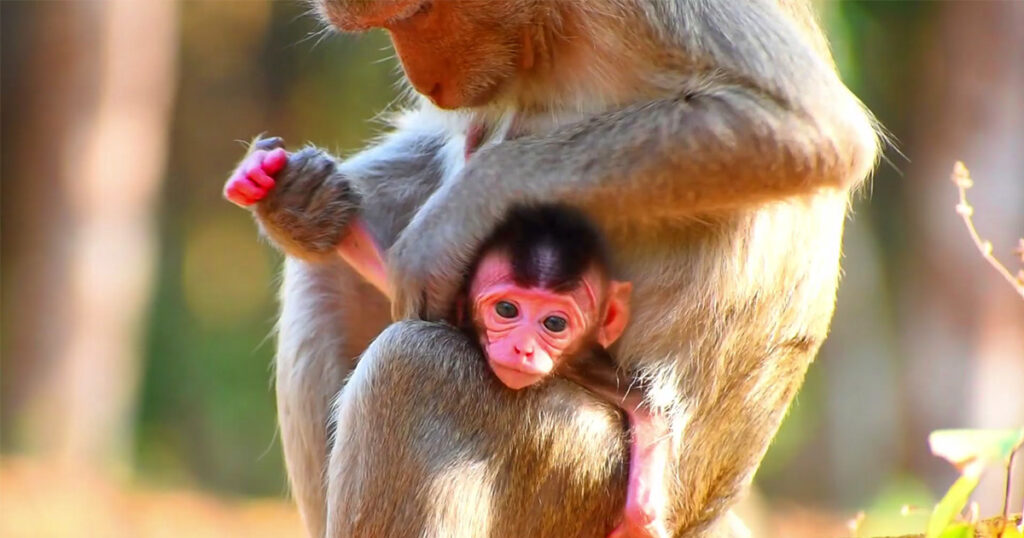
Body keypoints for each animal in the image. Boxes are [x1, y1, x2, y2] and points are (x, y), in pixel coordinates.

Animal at [224, 1, 879, 536]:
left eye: (416, 14)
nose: (426, 82)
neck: (546, 26)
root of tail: (707, 509)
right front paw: (302, 201)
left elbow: (802, 127)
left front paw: (455, 218)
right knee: (326, 279)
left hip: (581, 478)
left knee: (412, 369)